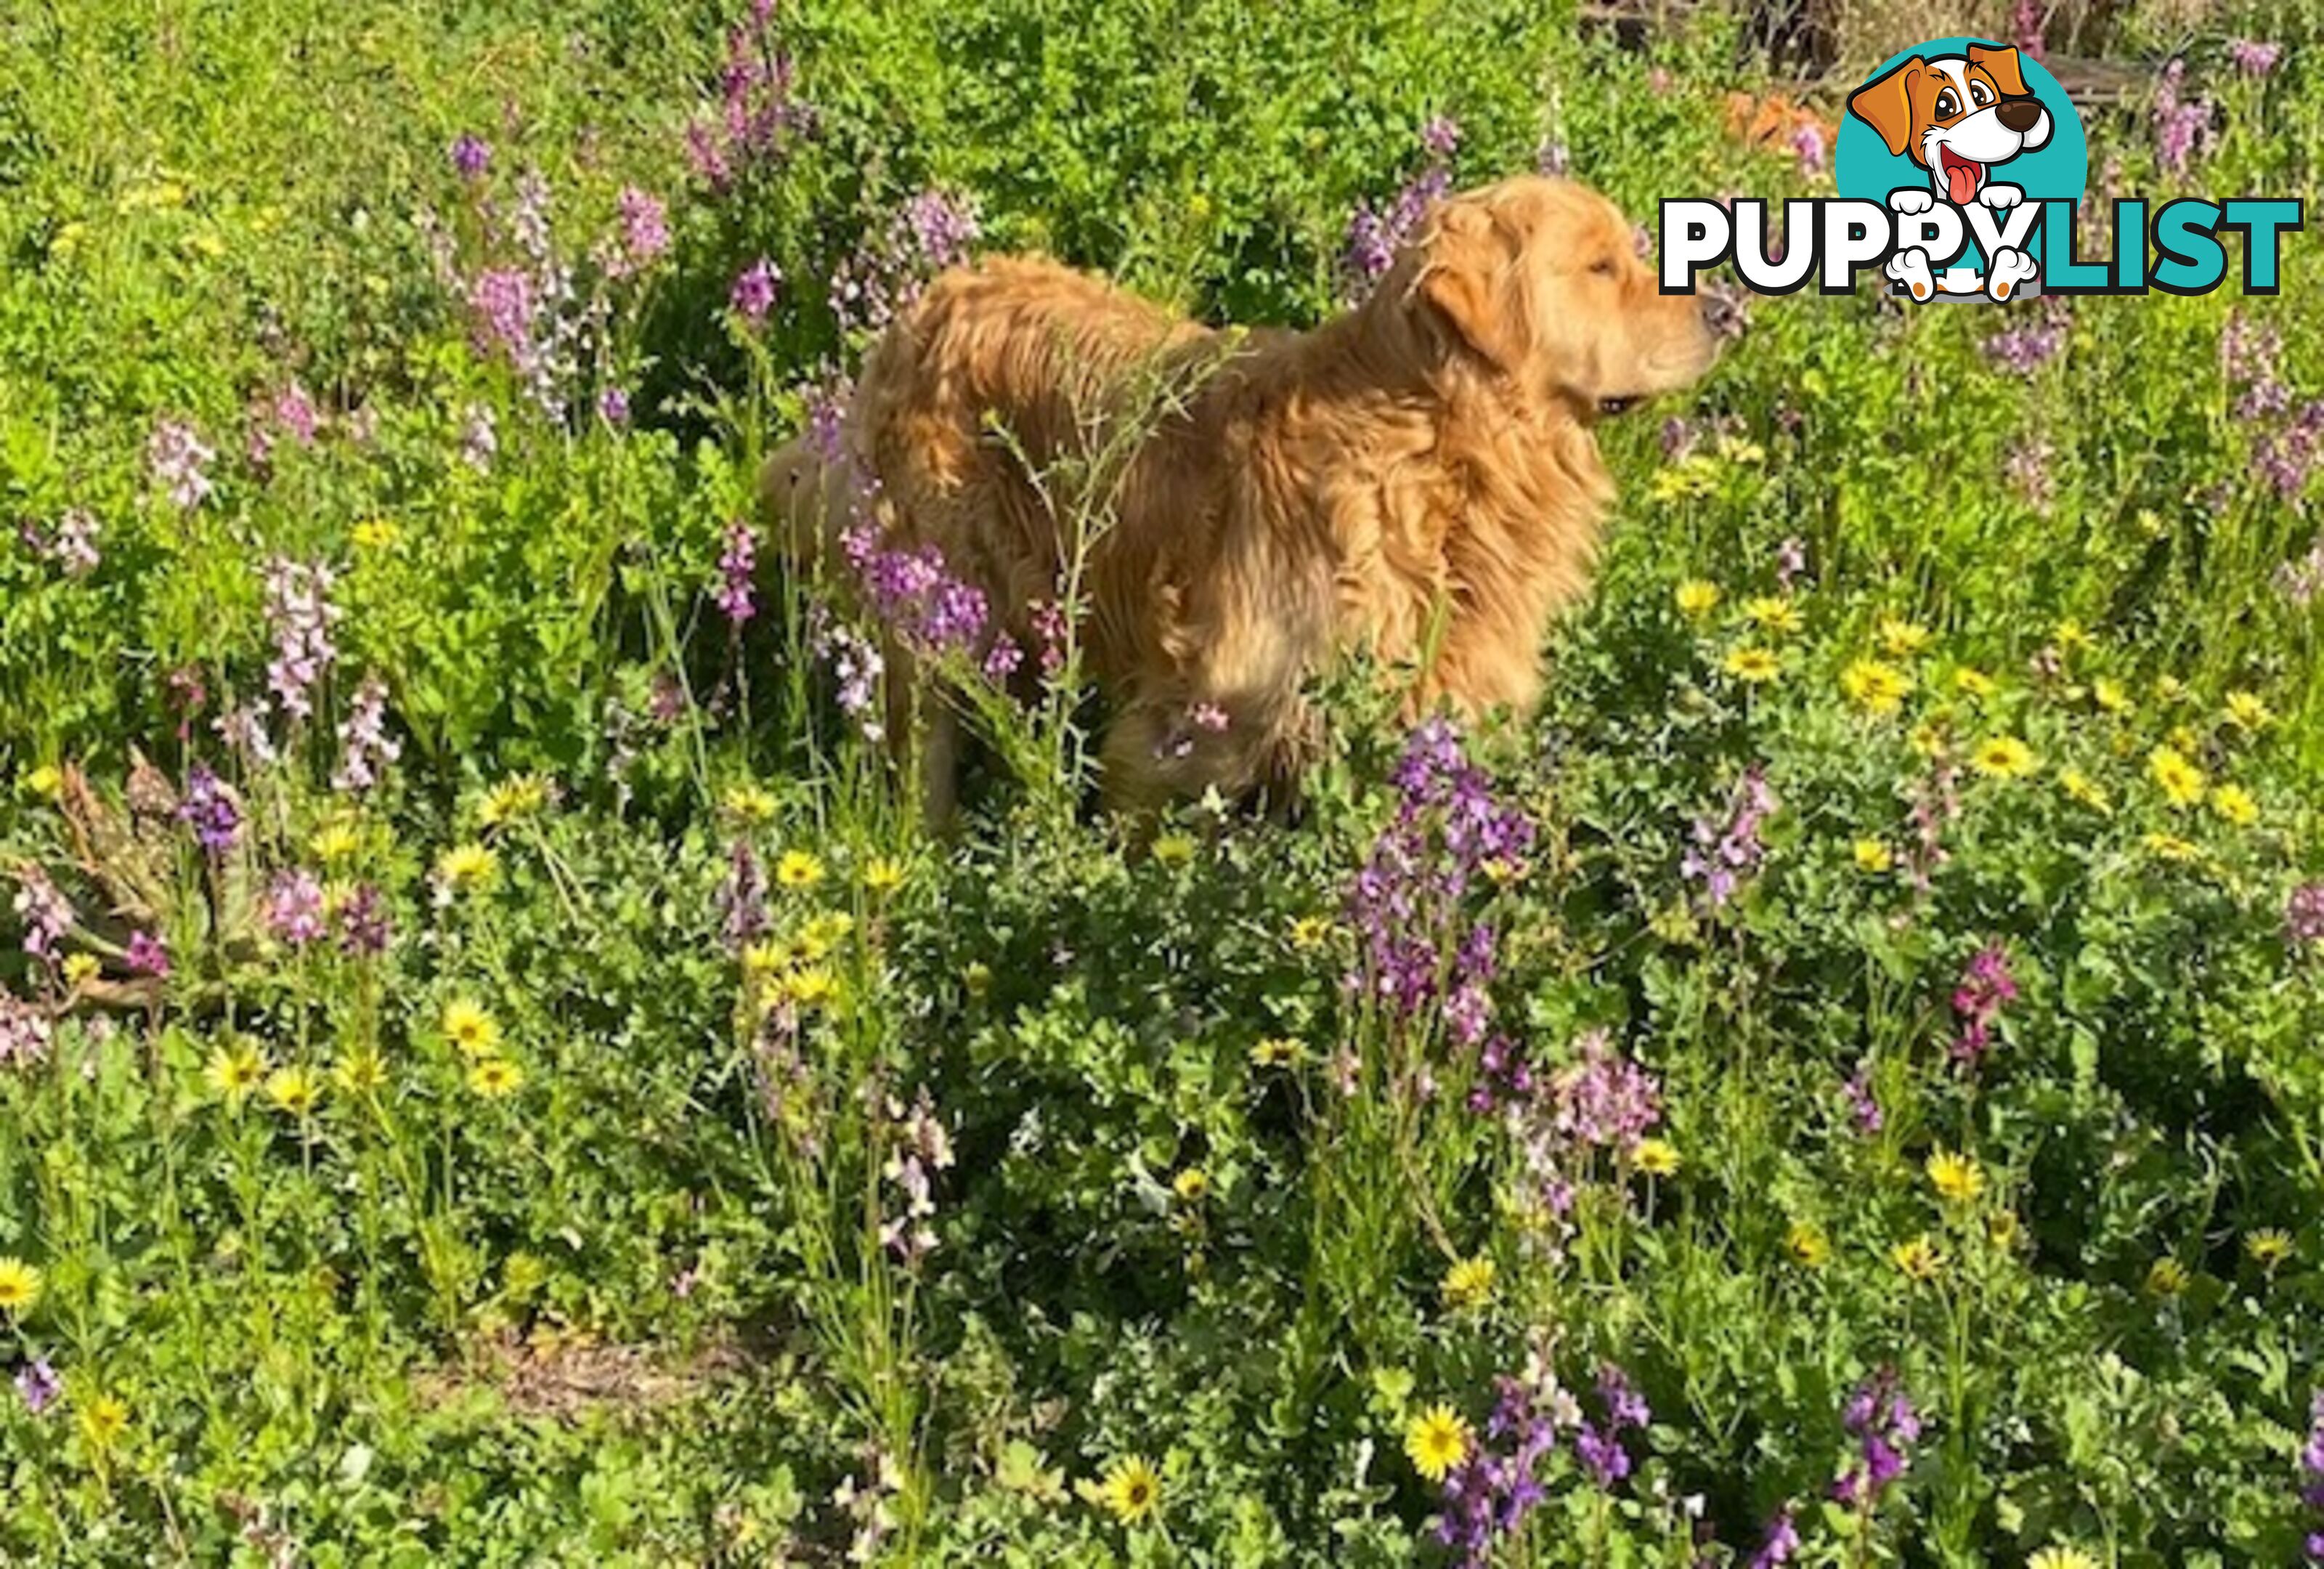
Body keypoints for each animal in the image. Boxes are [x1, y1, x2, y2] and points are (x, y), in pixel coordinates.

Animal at [771, 177, 1720, 822]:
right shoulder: (1190, 725)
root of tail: (925, 302)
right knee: (922, 741)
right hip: (940, 601)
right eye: (1599, 266)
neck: (1428, 448)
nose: (1720, 308)